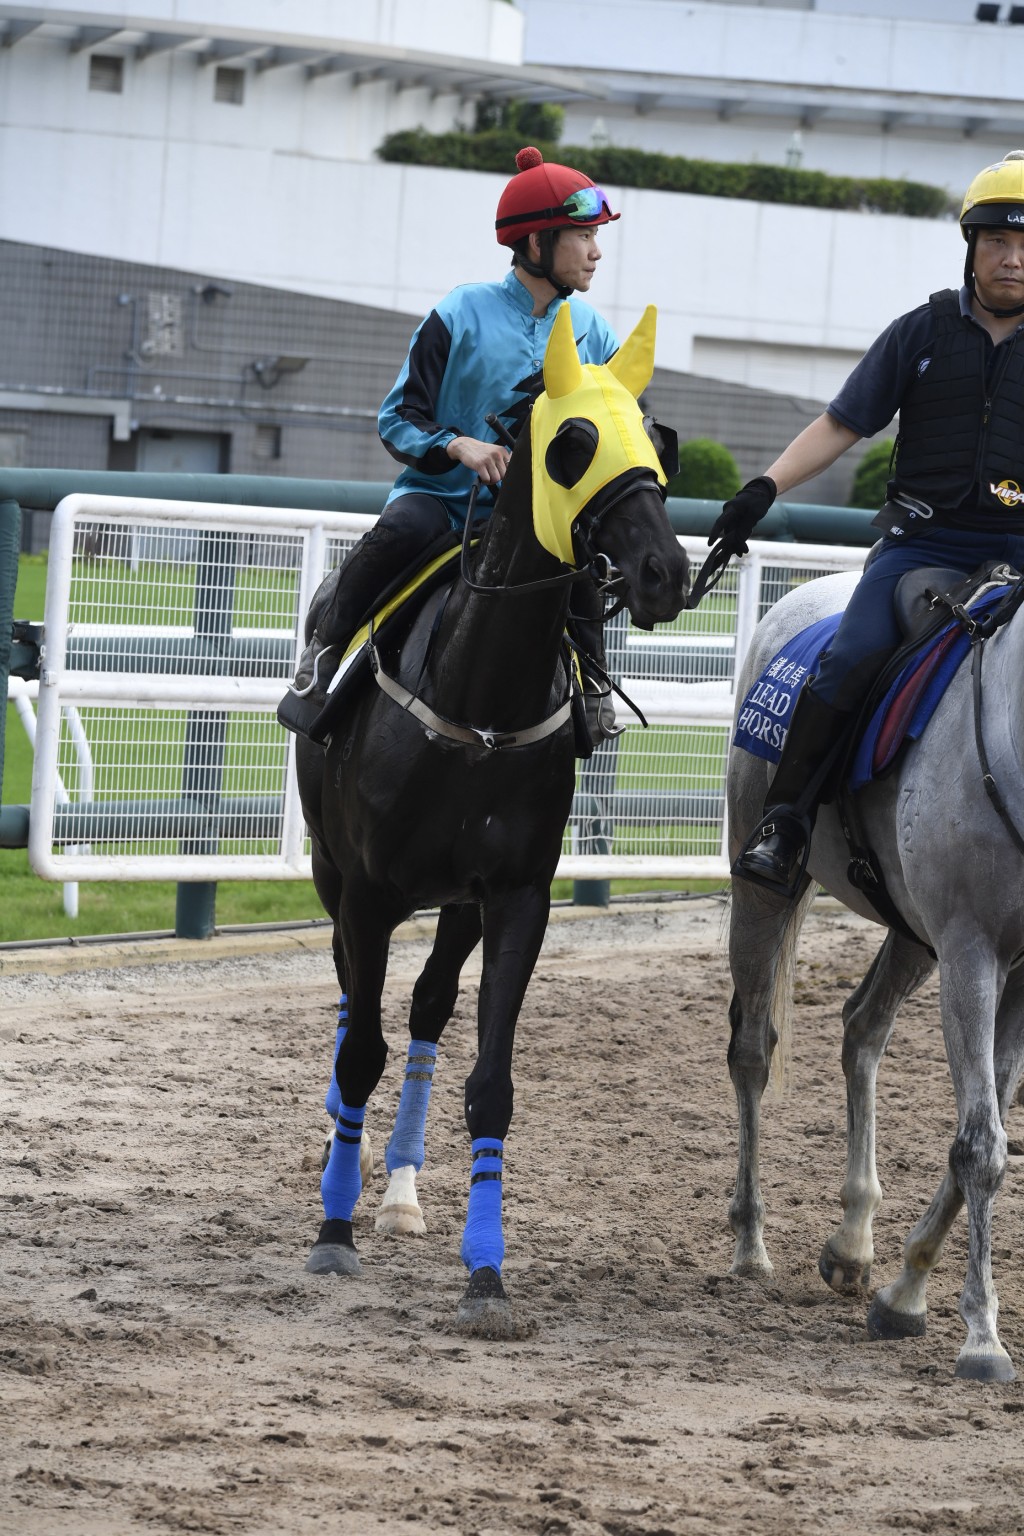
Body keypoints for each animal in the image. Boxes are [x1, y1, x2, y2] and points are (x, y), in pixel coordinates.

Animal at [291, 302, 687, 1333]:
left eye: (656, 443)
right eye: (571, 444)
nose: (664, 571)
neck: (477, 707)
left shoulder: (514, 898)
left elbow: (490, 1083)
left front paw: (485, 1270)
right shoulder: (370, 890)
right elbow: (360, 1051)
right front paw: (332, 1231)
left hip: (455, 905)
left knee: (427, 1008)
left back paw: (398, 1188)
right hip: (332, 874)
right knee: (353, 1007)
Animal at [724, 565, 1024, 1382]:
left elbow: (981, 1127)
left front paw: (904, 1293)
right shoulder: (970, 950)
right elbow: (980, 1144)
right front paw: (982, 1338)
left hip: (913, 936)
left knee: (862, 1027)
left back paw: (853, 1242)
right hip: (764, 888)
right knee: (752, 1052)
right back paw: (750, 1241)